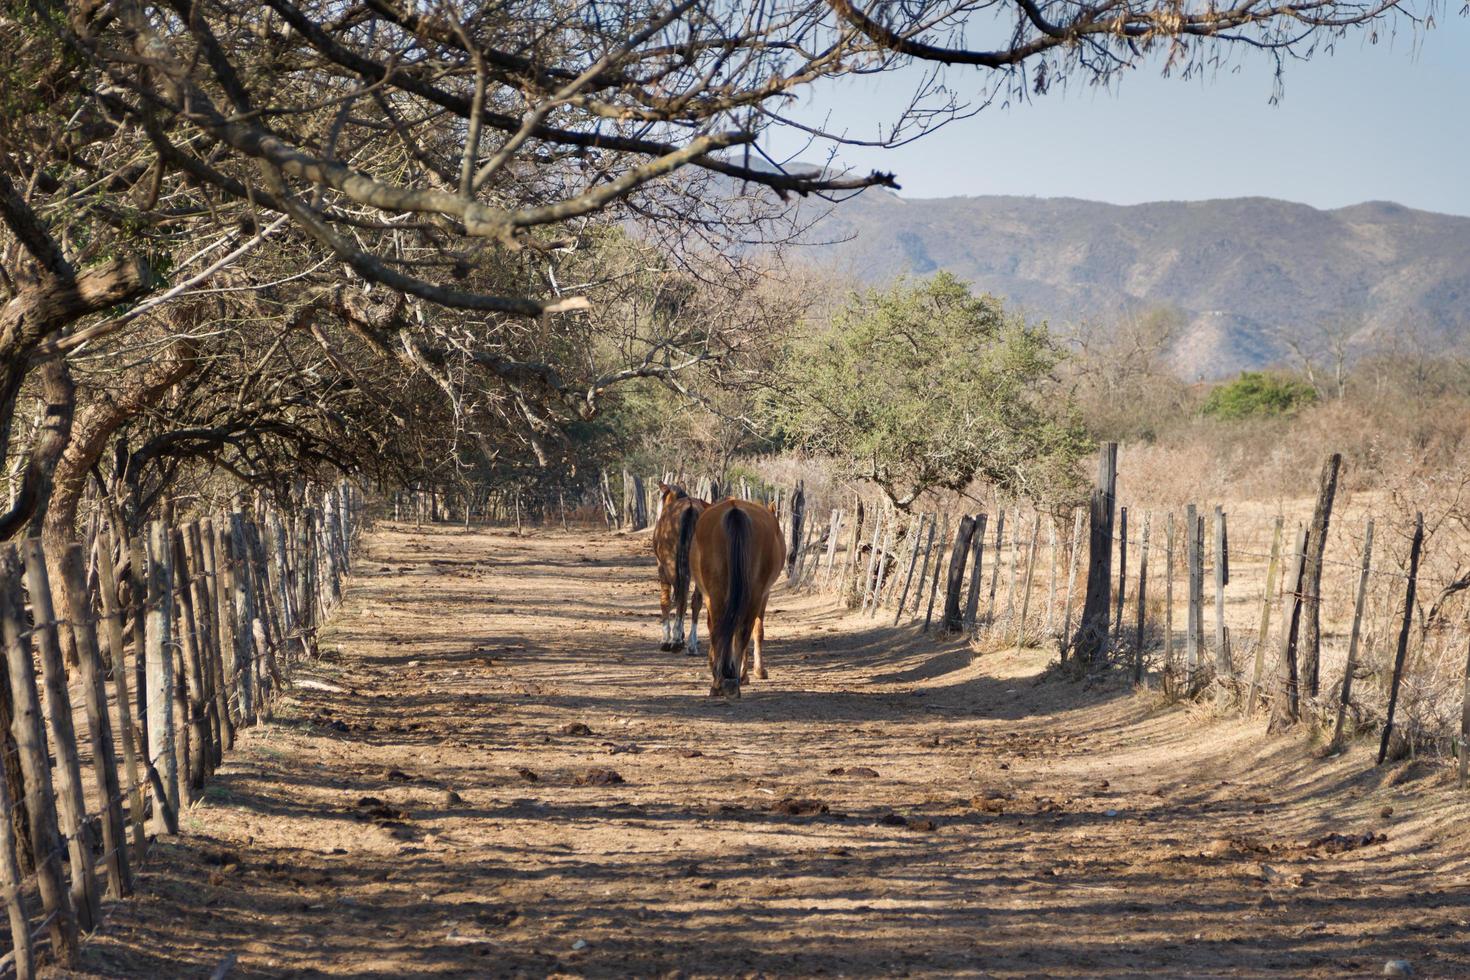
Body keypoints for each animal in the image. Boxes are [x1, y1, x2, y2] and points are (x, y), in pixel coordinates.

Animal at [652, 484, 708, 655]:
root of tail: (689, 508)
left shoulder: (662, 569)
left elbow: (666, 601)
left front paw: (667, 639)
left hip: (670, 566)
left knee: (681, 596)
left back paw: (676, 639)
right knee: (695, 601)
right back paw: (692, 643)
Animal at [690, 499, 787, 696]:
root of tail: (734, 511)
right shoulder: (762, 595)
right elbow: (757, 630)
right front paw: (754, 671)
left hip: (720, 593)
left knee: (721, 629)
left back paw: (721, 681)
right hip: (754, 593)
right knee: (742, 630)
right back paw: (732, 679)